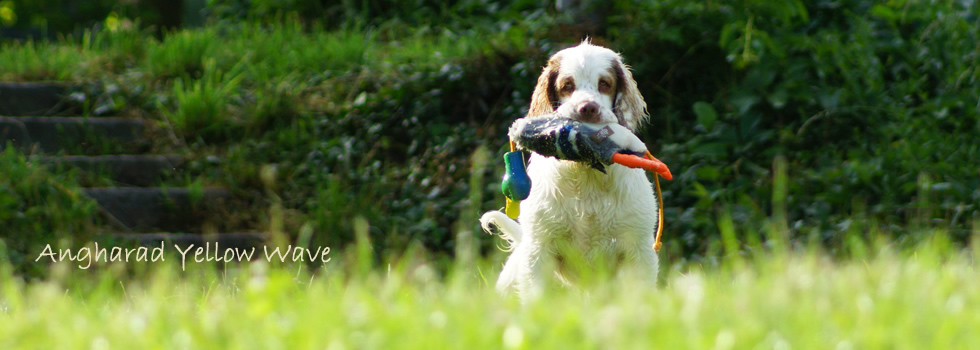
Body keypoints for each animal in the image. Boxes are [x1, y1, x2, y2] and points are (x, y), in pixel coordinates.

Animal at [480, 39, 660, 300]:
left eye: (604, 84)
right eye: (567, 85)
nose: (587, 108)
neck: (586, 172)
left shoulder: (639, 249)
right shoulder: (539, 250)